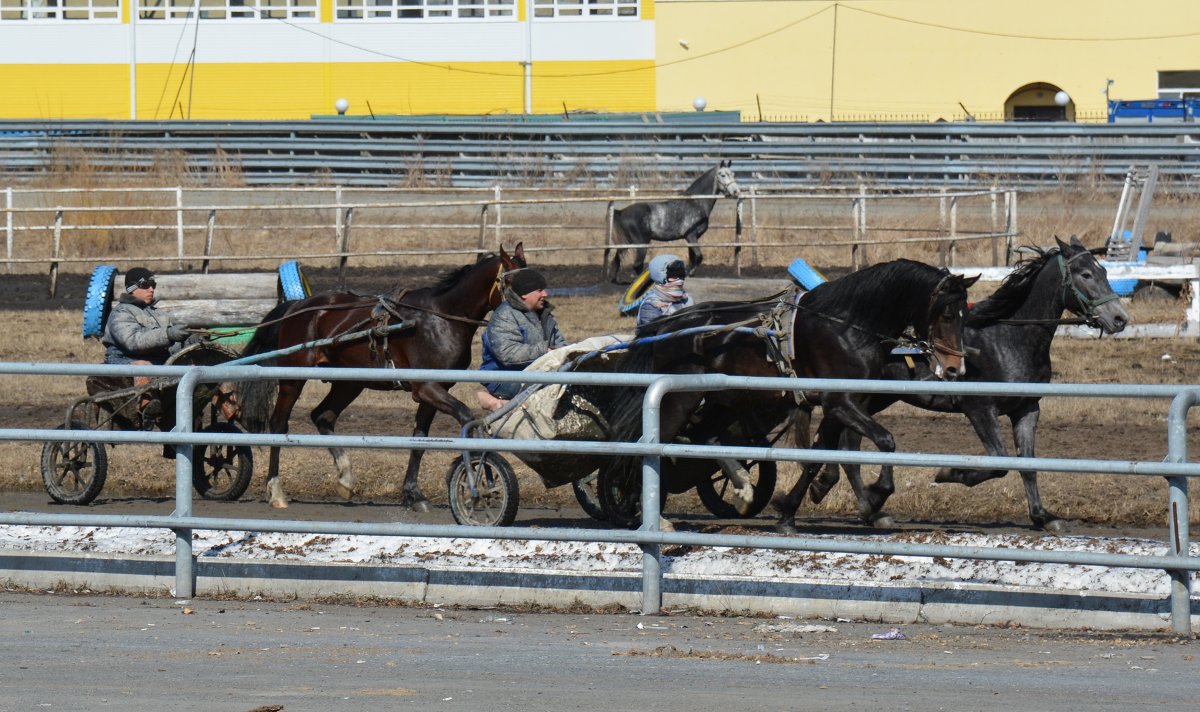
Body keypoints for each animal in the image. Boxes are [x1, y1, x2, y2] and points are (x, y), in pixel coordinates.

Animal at [238, 244, 525, 511]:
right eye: (515, 283)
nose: (534, 312)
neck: (440, 318)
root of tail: (298, 306)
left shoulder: (434, 391)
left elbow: (419, 440)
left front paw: (413, 495)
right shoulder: (427, 387)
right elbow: (466, 417)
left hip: (349, 383)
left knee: (322, 416)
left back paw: (345, 479)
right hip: (292, 378)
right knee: (279, 424)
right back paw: (276, 490)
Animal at [595, 258, 979, 530]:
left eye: (966, 313)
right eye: (947, 313)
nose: (955, 369)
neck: (847, 326)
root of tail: (667, 326)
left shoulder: (843, 403)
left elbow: (820, 455)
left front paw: (790, 511)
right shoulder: (841, 402)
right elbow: (885, 441)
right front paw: (875, 496)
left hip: (723, 399)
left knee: (708, 439)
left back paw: (742, 489)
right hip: (681, 399)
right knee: (650, 446)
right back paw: (640, 508)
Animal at [609, 159, 739, 282]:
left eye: (733, 174)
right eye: (723, 175)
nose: (736, 192)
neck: (696, 202)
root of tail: (621, 212)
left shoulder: (692, 237)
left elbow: (692, 257)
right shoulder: (691, 236)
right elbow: (699, 256)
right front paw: (690, 273)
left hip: (627, 243)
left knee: (617, 260)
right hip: (641, 243)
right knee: (637, 265)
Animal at [811, 236, 1128, 530]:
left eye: (1104, 271)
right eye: (1085, 274)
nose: (1119, 318)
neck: (1006, 339)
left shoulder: (1027, 409)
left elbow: (1027, 464)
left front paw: (1043, 516)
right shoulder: (980, 408)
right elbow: (999, 462)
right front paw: (949, 473)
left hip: (872, 398)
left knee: (846, 441)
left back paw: (858, 503)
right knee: (847, 443)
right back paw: (866, 502)